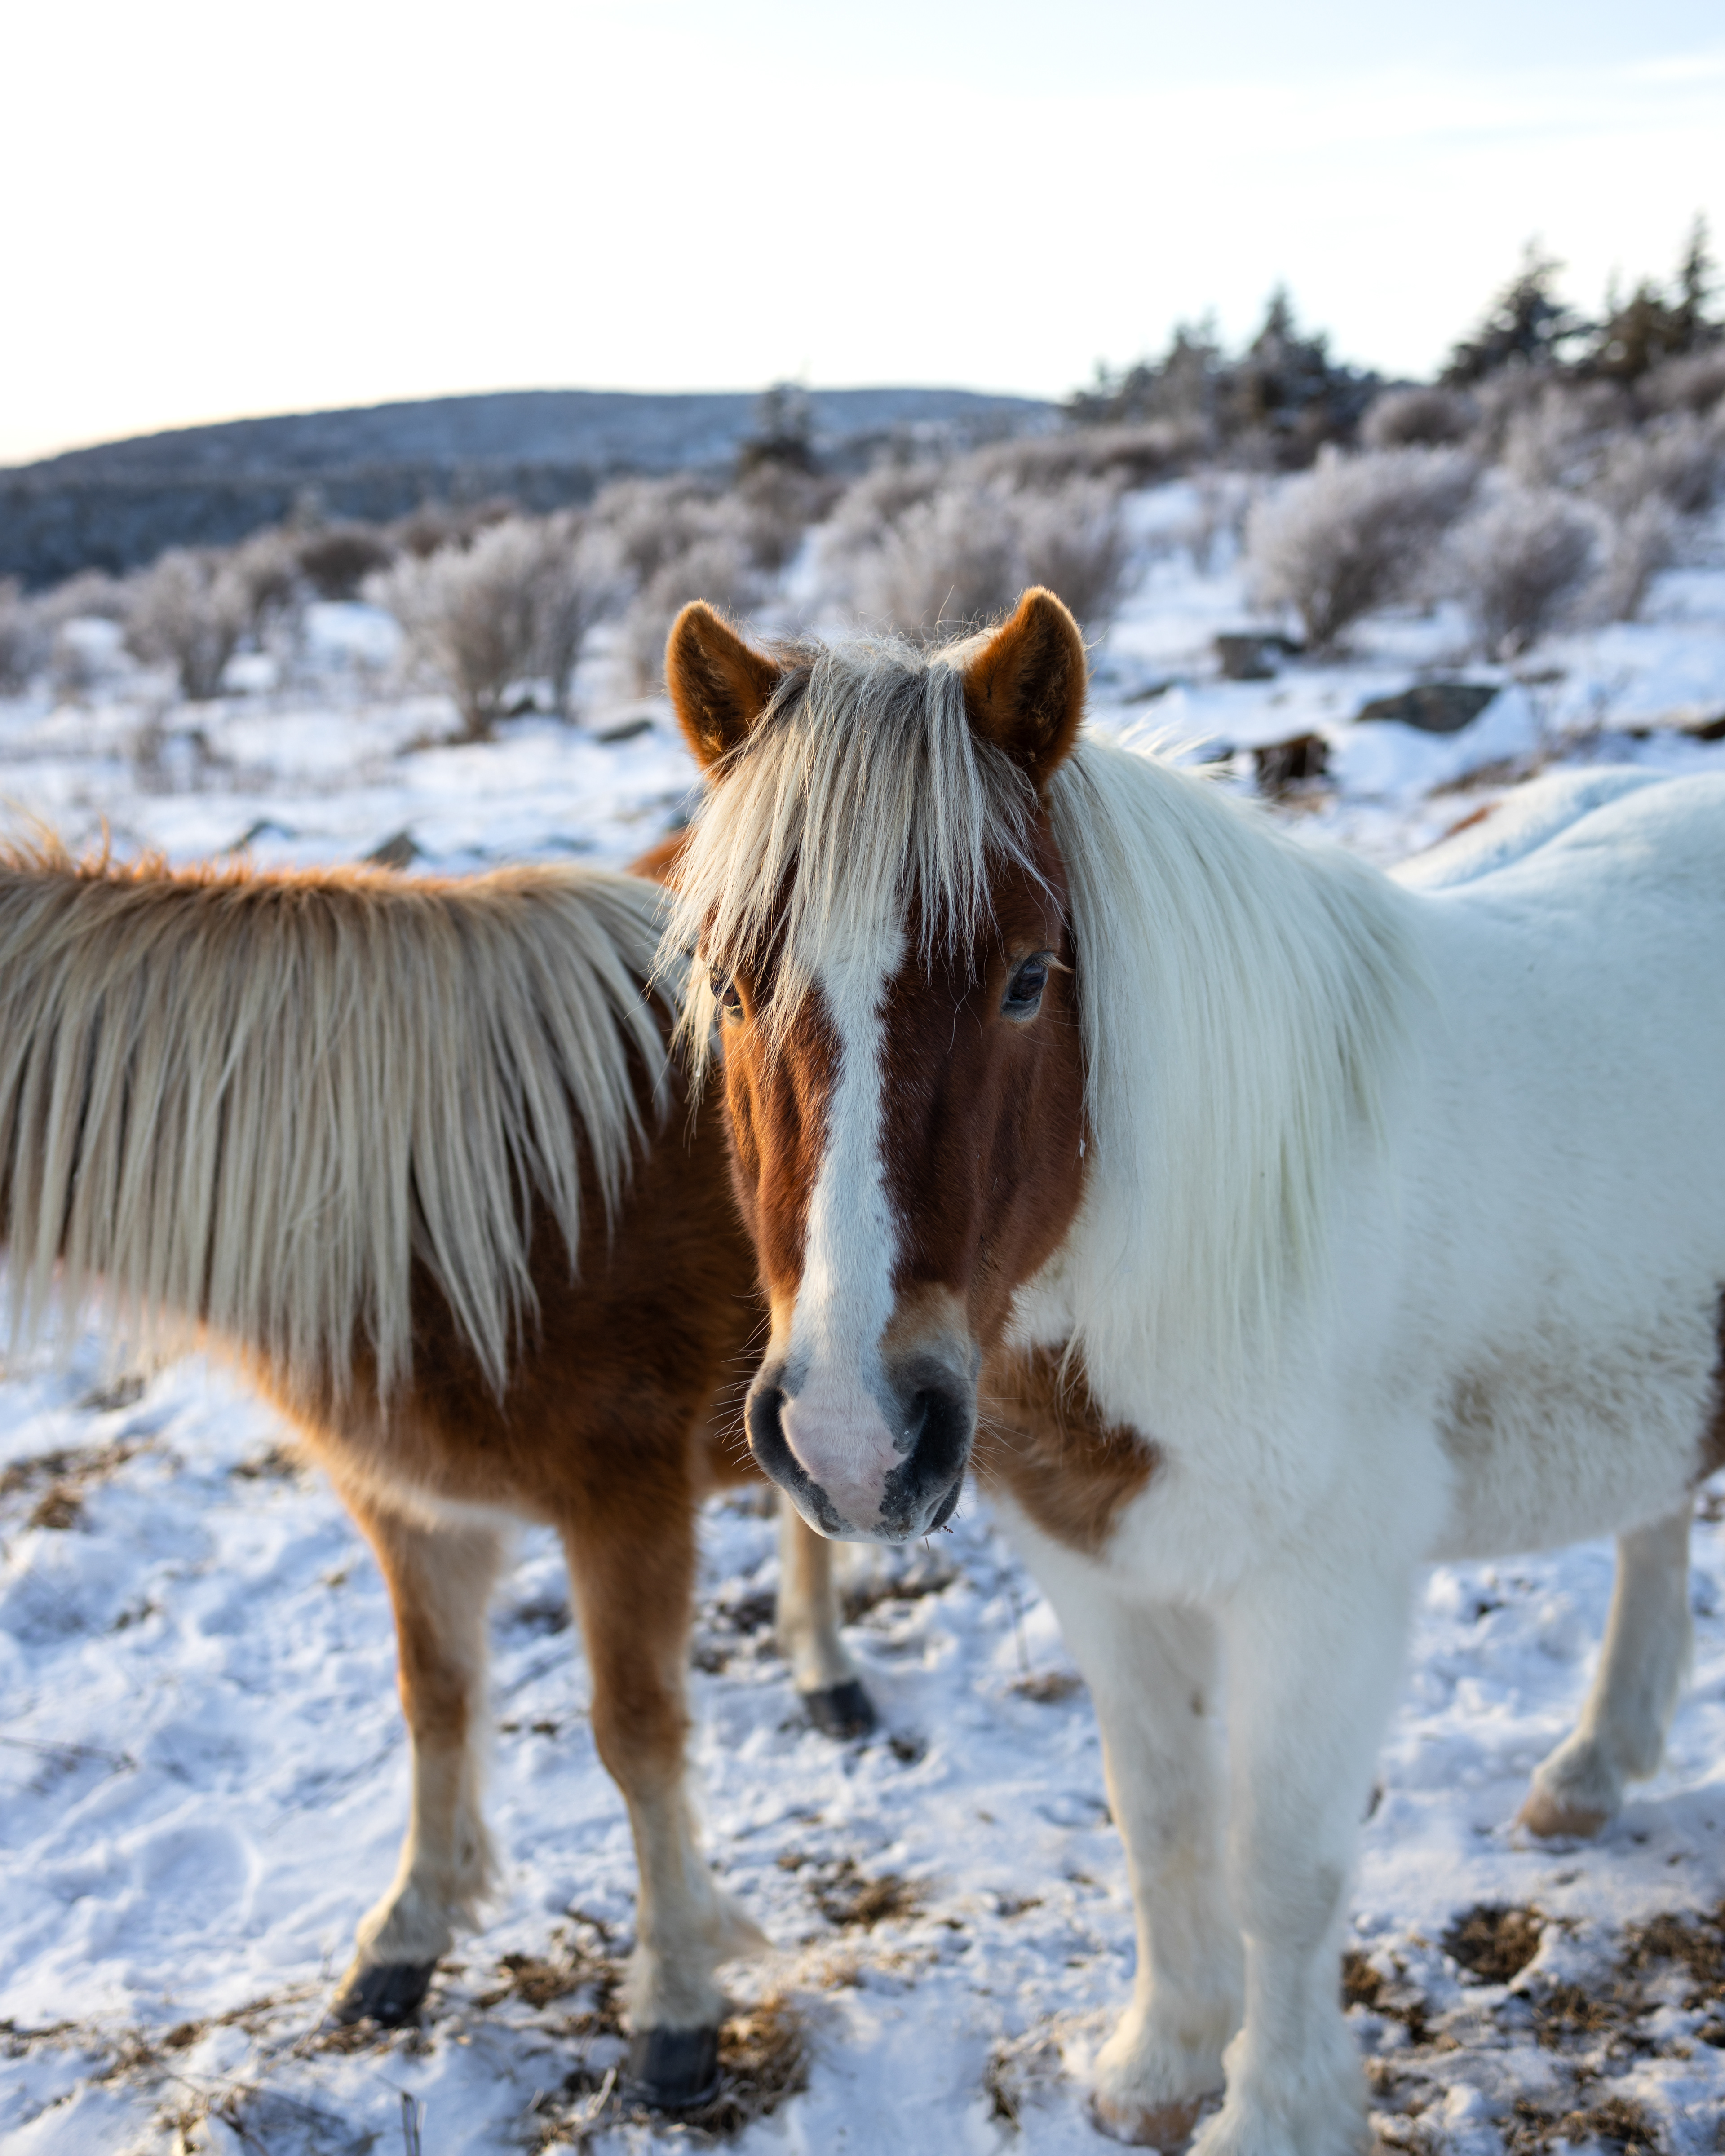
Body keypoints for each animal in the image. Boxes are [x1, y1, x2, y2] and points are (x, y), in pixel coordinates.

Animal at [0, 836, 876, 2110]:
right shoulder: (414, 1510)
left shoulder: (627, 1507)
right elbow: (437, 1701)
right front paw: (407, 1934)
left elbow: (636, 1735)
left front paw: (674, 2004)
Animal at [656, 587, 1725, 2154]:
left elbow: (1281, 1863)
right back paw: (1592, 1769)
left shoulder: (1322, 1593)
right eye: (732, 984)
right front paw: (1160, 2060)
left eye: (1028, 976)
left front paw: (1276, 2113)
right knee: (1654, 1522)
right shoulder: (1095, 1569)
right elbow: (1160, 1819)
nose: (854, 1437)